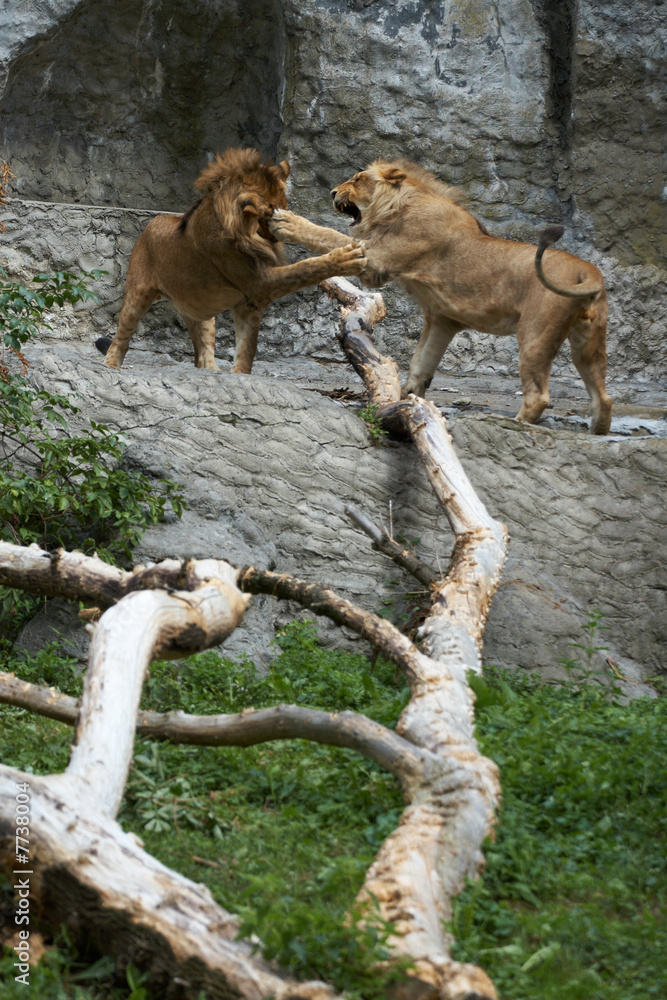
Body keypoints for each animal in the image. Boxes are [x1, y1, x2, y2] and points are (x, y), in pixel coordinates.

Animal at [98, 148, 366, 373]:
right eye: (270, 213)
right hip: (138, 293)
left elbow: (246, 350)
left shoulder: (249, 305)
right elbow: (306, 267)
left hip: (201, 311)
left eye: (284, 205)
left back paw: (212, 372)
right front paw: (350, 257)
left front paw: (239, 375)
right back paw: (111, 366)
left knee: (203, 350)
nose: (276, 234)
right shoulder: (260, 285)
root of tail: (151, 222)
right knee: (121, 336)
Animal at [269, 159, 612, 434]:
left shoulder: (376, 261)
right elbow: (421, 363)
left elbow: (329, 236)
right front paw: (407, 401)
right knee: (604, 397)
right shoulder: (442, 319)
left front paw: (287, 222)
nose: (331, 193)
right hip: (587, 342)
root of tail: (588, 270)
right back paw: (598, 432)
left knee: (539, 395)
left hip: (535, 333)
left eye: (358, 178)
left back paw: (513, 424)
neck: (399, 206)